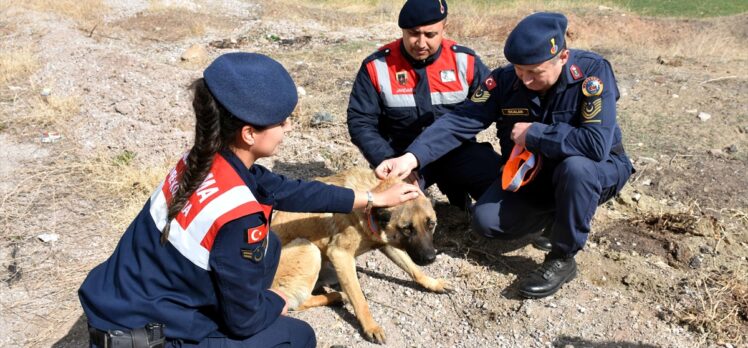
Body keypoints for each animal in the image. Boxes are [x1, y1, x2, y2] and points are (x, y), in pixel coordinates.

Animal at [272, 167, 452, 344]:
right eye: (407, 229)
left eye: (431, 224)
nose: (430, 259)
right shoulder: (340, 255)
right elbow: (360, 300)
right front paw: (371, 326)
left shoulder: (387, 243)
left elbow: (414, 270)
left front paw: (434, 283)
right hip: (309, 249)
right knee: (296, 303)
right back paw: (337, 296)